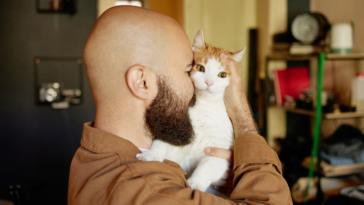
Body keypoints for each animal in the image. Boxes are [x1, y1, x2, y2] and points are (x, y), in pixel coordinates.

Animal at [136, 29, 245, 192]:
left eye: (222, 75)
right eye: (200, 68)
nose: (209, 82)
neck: (203, 108)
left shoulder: (218, 151)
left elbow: (208, 167)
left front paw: (195, 184)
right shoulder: (175, 127)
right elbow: (162, 142)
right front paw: (152, 154)